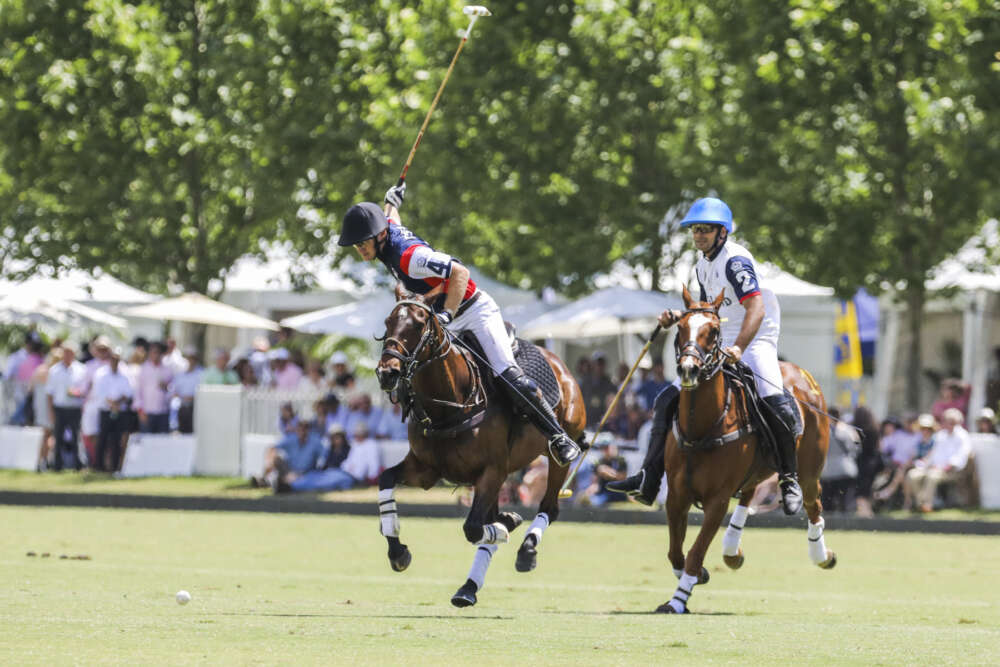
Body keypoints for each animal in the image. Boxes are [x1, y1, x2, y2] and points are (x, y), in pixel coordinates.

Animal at [378, 284, 588, 608]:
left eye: (418, 324)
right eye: (388, 322)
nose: (386, 373)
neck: (449, 404)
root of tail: (557, 361)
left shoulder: (491, 470)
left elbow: (474, 528)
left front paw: (505, 527)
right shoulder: (426, 469)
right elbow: (385, 479)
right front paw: (398, 552)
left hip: (556, 454)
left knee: (549, 506)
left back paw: (526, 550)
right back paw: (468, 587)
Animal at [656, 288, 836, 616]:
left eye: (714, 331)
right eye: (680, 328)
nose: (688, 369)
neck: (701, 428)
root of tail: (803, 375)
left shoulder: (716, 500)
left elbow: (695, 552)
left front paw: (677, 600)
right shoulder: (676, 496)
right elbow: (676, 551)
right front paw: (696, 577)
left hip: (809, 468)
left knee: (812, 503)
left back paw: (821, 554)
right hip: (757, 469)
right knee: (750, 494)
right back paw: (731, 551)